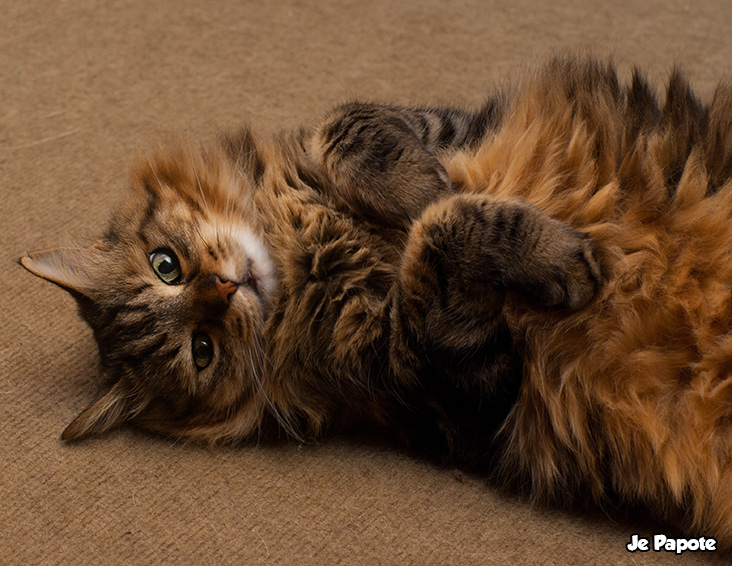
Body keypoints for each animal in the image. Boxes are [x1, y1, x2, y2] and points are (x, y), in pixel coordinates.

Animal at [18, 56, 732, 544]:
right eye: (202, 349)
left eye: (165, 266)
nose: (225, 287)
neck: (308, 258)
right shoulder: (466, 393)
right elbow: (444, 229)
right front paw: (560, 258)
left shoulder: (436, 124)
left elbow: (352, 128)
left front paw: (427, 187)